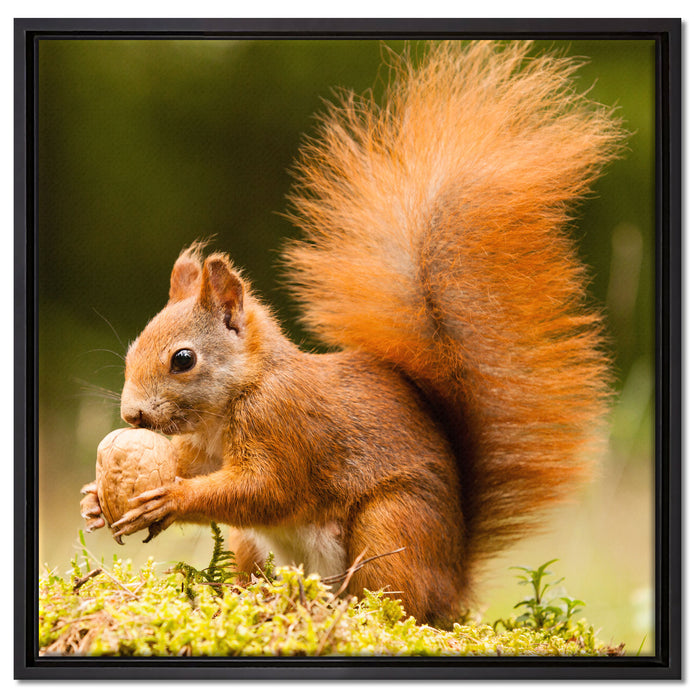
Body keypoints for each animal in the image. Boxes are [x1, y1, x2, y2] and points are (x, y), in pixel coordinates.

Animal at [80, 41, 626, 625]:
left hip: (392, 523)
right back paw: (257, 598)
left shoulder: (285, 426)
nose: (131, 415)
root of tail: (454, 584)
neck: (237, 397)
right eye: (133, 348)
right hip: (258, 546)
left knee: (394, 600)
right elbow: (193, 466)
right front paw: (95, 498)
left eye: (183, 359)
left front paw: (172, 499)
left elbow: (266, 490)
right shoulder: (204, 449)